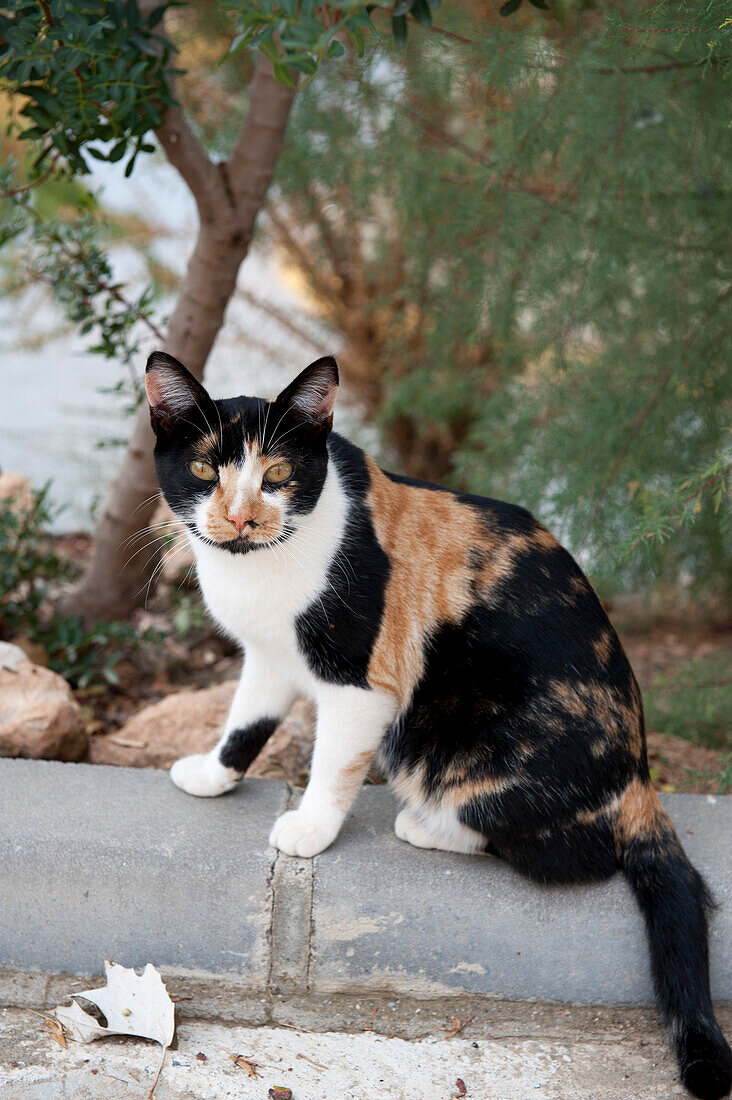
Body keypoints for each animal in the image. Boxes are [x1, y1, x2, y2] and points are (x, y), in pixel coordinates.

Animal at [145, 352, 726, 1100]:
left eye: (277, 475)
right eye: (201, 470)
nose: (242, 518)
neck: (261, 570)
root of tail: (641, 777)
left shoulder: (360, 686)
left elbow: (333, 765)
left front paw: (309, 829)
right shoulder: (270, 656)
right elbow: (248, 718)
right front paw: (214, 773)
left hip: (461, 739)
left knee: (569, 853)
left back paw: (427, 824)